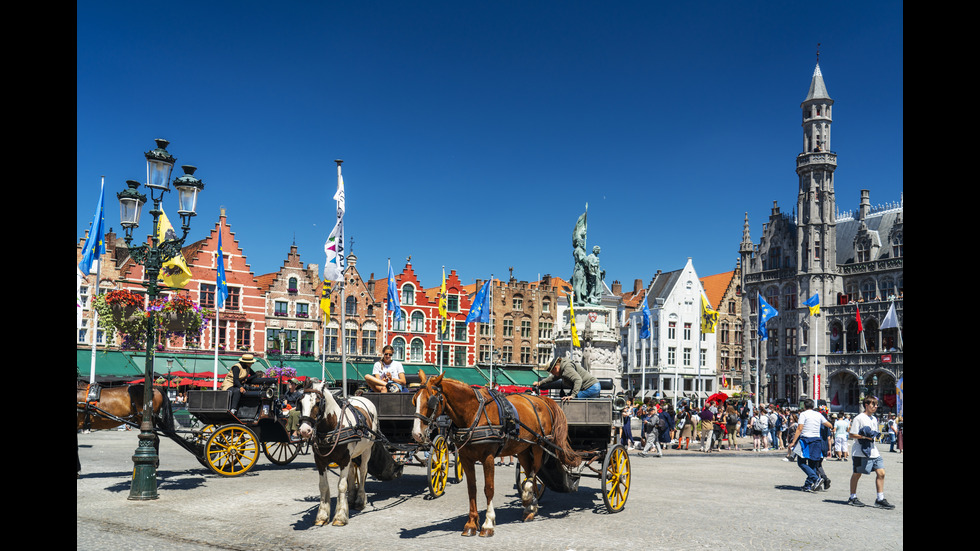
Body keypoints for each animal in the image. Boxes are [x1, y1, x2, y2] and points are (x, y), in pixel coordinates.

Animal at [296, 382, 378, 528]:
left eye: (317, 402)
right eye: (300, 402)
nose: (305, 430)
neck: (332, 427)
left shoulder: (344, 459)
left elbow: (341, 485)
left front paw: (340, 516)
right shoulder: (320, 461)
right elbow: (323, 486)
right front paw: (322, 515)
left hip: (366, 450)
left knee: (363, 471)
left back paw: (360, 499)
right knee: (351, 471)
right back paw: (350, 498)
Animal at [408, 374, 580, 536]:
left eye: (431, 401)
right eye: (414, 400)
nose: (416, 434)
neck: (474, 414)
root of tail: (542, 399)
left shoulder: (488, 458)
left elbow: (488, 489)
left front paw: (488, 524)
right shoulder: (466, 459)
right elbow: (472, 489)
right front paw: (471, 524)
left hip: (539, 445)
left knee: (535, 470)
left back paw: (527, 496)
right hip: (523, 449)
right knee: (530, 471)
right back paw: (530, 507)